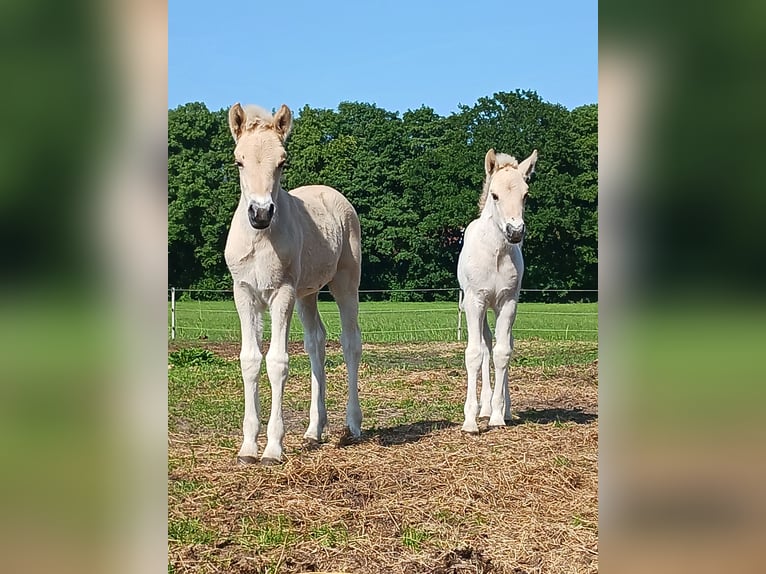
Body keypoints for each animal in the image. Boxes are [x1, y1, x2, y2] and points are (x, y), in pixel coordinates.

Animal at [224, 102, 363, 465]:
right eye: (239, 160)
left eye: (282, 162)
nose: (260, 214)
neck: (260, 240)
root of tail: (330, 192)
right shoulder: (244, 293)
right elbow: (250, 360)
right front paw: (248, 448)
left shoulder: (282, 293)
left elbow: (277, 361)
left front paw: (273, 449)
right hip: (307, 294)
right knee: (317, 342)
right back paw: (314, 430)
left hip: (345, 283)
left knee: (350, 342)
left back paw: (352, 425)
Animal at [457, 148, 538, 433]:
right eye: (494, 194)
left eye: (526, 194)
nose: (515, 232)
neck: (495, 254)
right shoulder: (475, 302)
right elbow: (474, 353)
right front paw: (471, 421)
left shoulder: (508, 303)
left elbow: (503, 353)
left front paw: (498, 416)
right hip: (479, 307)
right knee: (484, 345)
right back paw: (483, 407)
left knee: (501, 345)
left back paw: (503, 409)